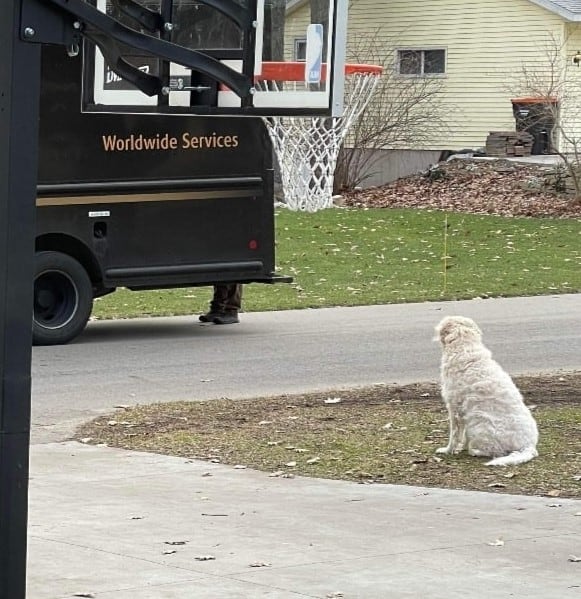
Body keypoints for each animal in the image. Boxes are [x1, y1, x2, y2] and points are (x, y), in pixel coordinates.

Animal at [432, 316, 536, 466]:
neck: (464, 347)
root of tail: (529, 446)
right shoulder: (464, 412)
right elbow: (462, 435)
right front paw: (461, 447)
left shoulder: (454, 408)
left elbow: (454, 435)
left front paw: (448, 450)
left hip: (479, 424)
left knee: (495, 451)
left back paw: (474, 451)